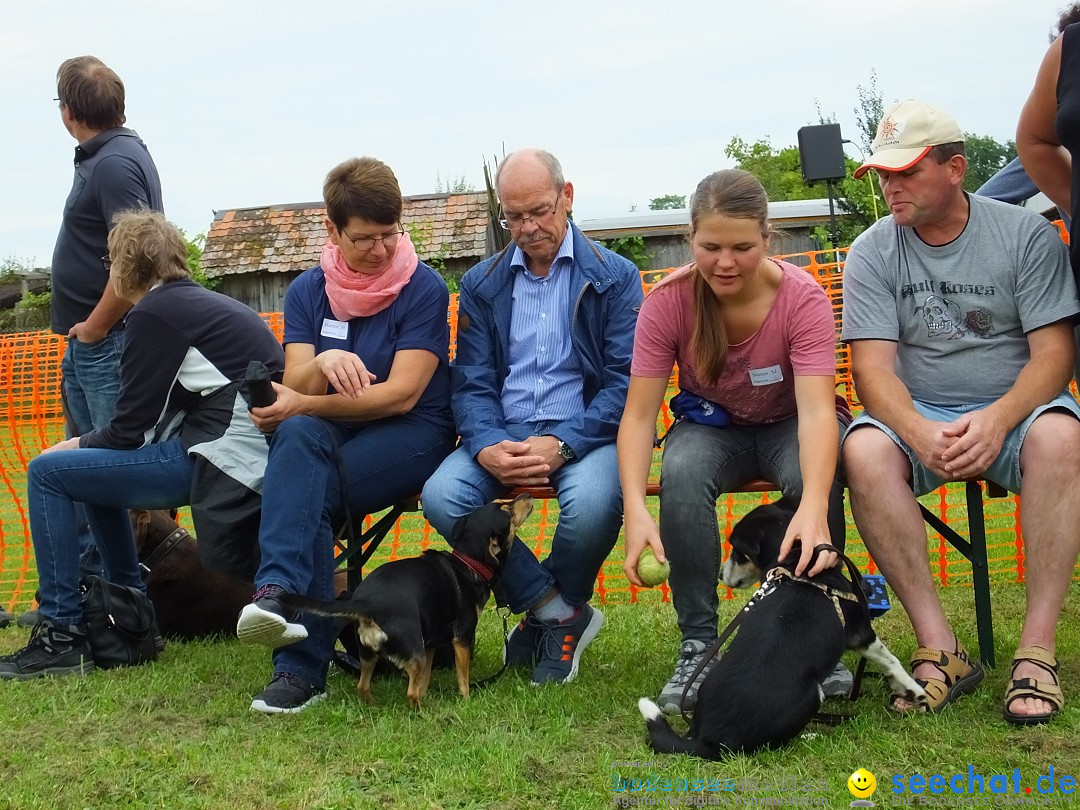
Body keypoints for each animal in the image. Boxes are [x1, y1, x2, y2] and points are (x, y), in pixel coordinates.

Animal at [278, 494, 531, 708]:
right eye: (508, 511)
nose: (527, 495)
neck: (469, 562)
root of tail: (365, 604)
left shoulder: (430, 645)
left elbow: (425, 679)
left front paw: (428, 693)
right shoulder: (461, 639)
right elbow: (462, 677)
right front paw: (466, 700)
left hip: (369, 654)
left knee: (363, 686)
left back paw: (376, 704)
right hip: (413, 649)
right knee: (409, 693)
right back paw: (422, 711)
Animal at [639, 498, 928, 760]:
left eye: (738, 552)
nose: (720, 576)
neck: (797, 567)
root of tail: (709, 740)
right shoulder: (861, 633)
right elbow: (891, 661)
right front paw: (914, 692)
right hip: (813, 694)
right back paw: (812, 735)